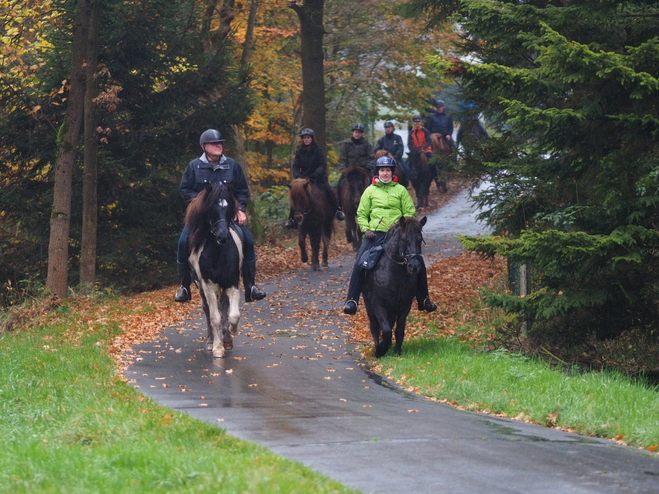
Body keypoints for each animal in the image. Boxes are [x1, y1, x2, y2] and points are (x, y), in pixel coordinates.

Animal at [186, 183, 242, 356]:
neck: (218, 254)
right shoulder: (208, 285)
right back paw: (211, 341)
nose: (223, 237)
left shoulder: (232, 282)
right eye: (211, 209)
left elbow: (233, 314)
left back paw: (226, 338)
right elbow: (214, 317)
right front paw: (217, 347)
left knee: (224, 306)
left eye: (230, 208)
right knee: (207, 309)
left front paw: (231, 332)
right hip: (200, 286)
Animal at [360, 214, 428, 356]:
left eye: (420, 239)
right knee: (374, 326)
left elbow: (399, 329)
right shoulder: (378, 304)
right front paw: (380, 349)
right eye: (403, 239)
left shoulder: (405, 305)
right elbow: (385, 330)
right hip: (370, 306)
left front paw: (397, 351)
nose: (414, 266)